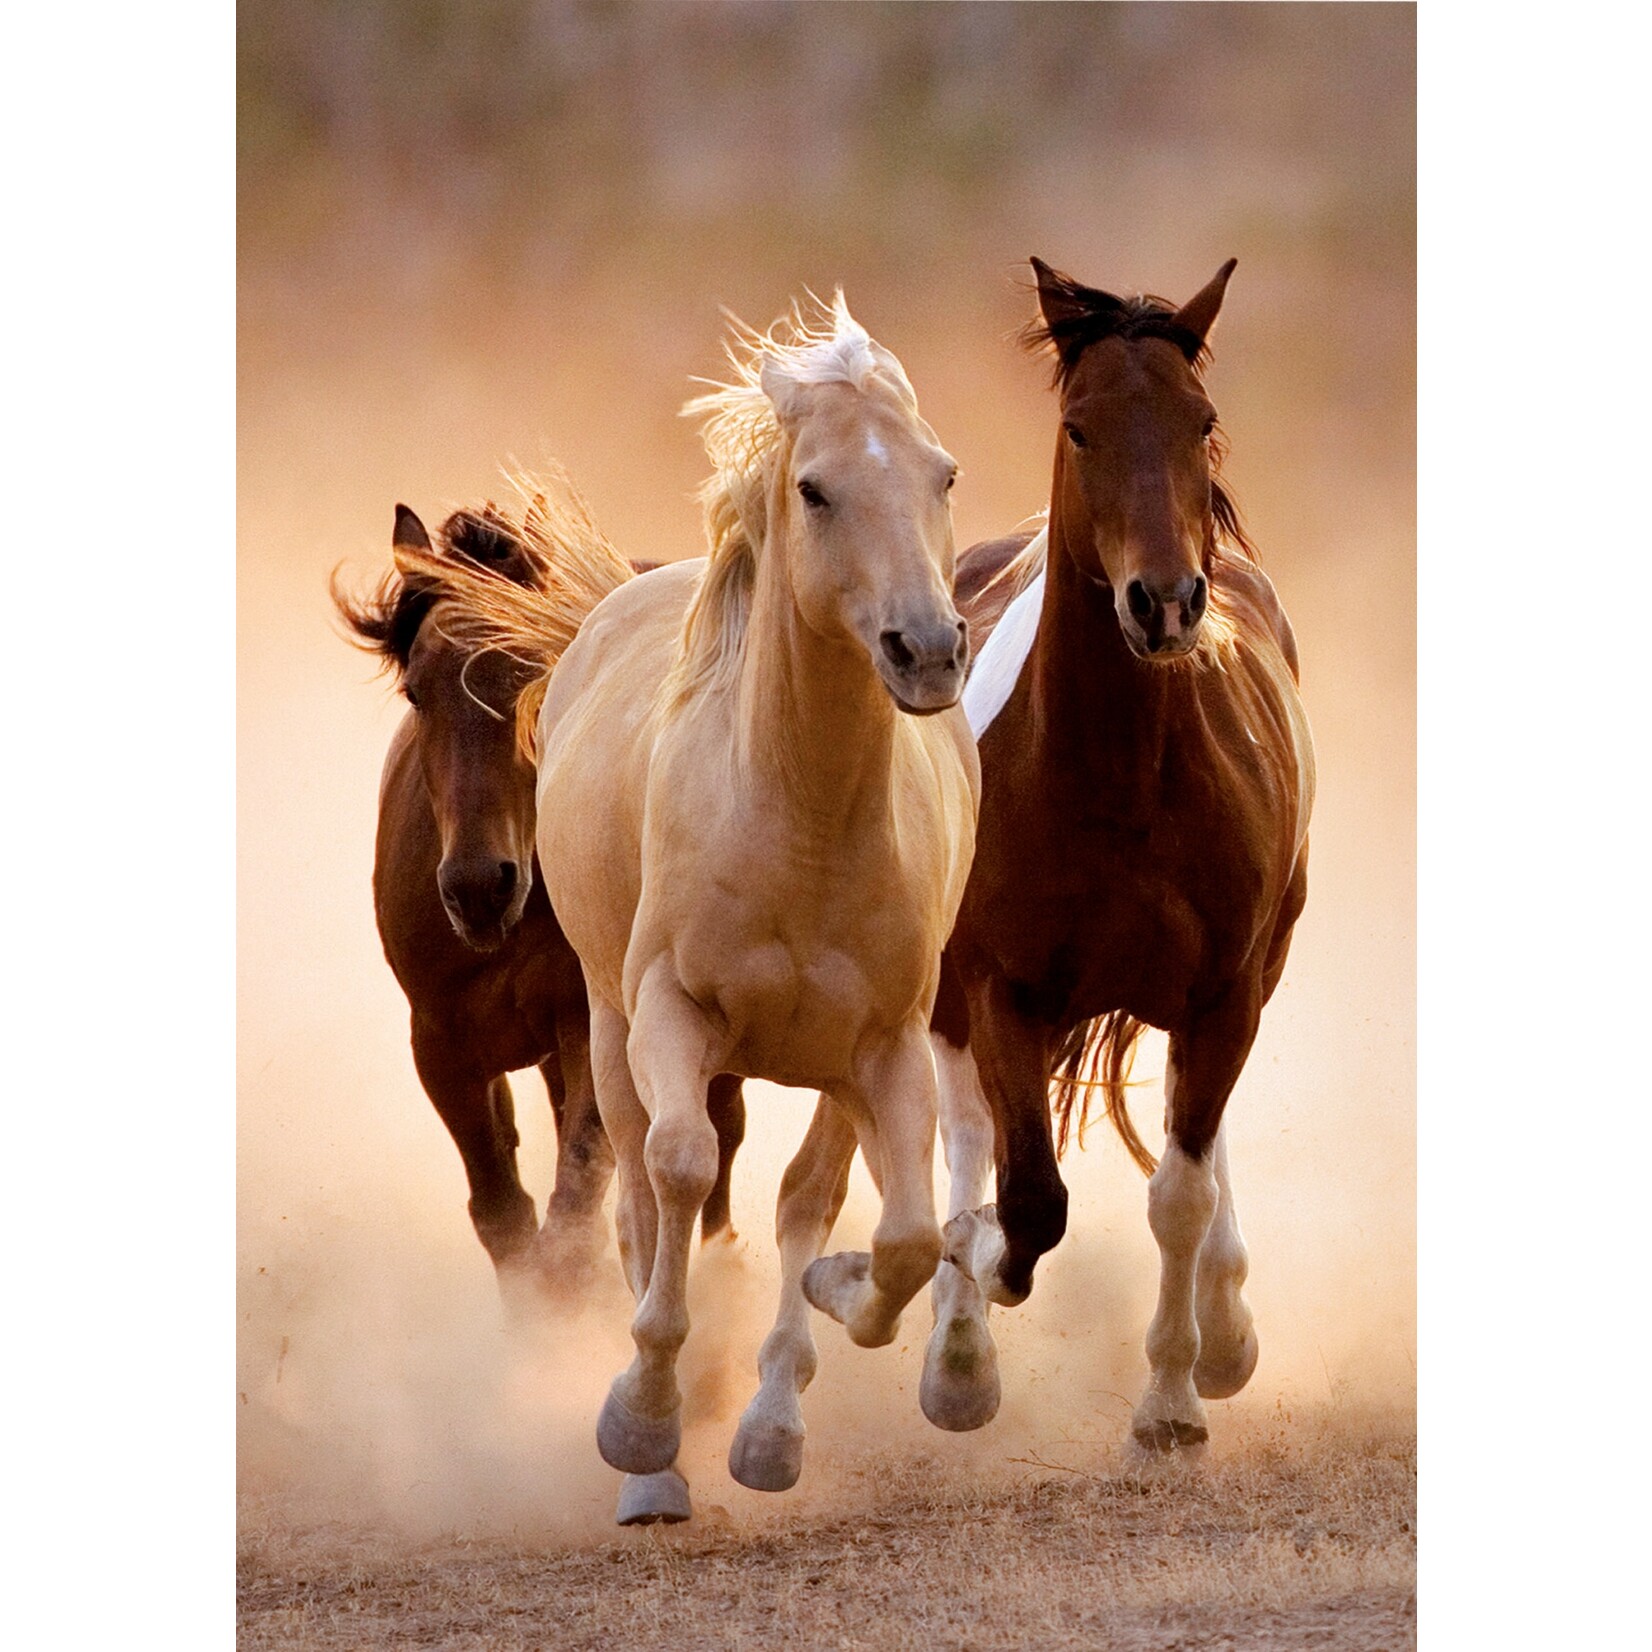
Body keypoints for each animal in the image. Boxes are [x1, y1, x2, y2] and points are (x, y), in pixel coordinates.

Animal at [331, 494, 748, 1322]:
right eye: (416, 691)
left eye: (537, 674)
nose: (476, 887)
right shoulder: (442, 1046)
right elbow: (505, 1215)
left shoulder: (590, 1025)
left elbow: (575, 1205)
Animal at [409, 296, 979, 1525]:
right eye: (814, 489)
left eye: (942, 473)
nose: (927, 648)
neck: (797, 818)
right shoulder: (668, 1014)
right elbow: (674, 1172)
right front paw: (642, 1421)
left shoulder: (886, 1044)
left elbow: (897, 1234)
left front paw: (824, 1337)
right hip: (606, 1027)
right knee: (638, 1190)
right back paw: (658, 1463)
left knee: (810, 1195)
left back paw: (770, 1417)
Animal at [923, 258, 1316, 1457]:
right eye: (1080, 426)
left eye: (1202, 420)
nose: (1166, 601)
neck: (1122, 776)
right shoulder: (1000, 987)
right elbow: (1026, 1196)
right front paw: (979, 1277)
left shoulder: (1223, 991)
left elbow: (1179, 1191)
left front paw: (1175, 1397)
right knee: (964, 1130)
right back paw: (955, 1351)